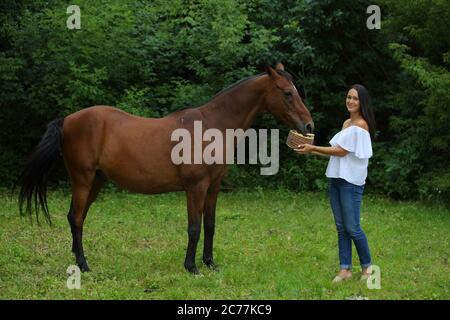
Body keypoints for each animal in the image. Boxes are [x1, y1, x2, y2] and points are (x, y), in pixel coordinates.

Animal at [17, 63, 312, 276]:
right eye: (287, 93)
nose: (308, 126)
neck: (212, 126)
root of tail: (67, 120)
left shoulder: (213, 187)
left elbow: (210, 225)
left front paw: (210, 263)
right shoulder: (195, 187)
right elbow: (194, 227)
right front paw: (191, 267)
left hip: (96, 182)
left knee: (75, 217)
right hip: (82, 179)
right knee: (77, 218)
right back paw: (84, 265)